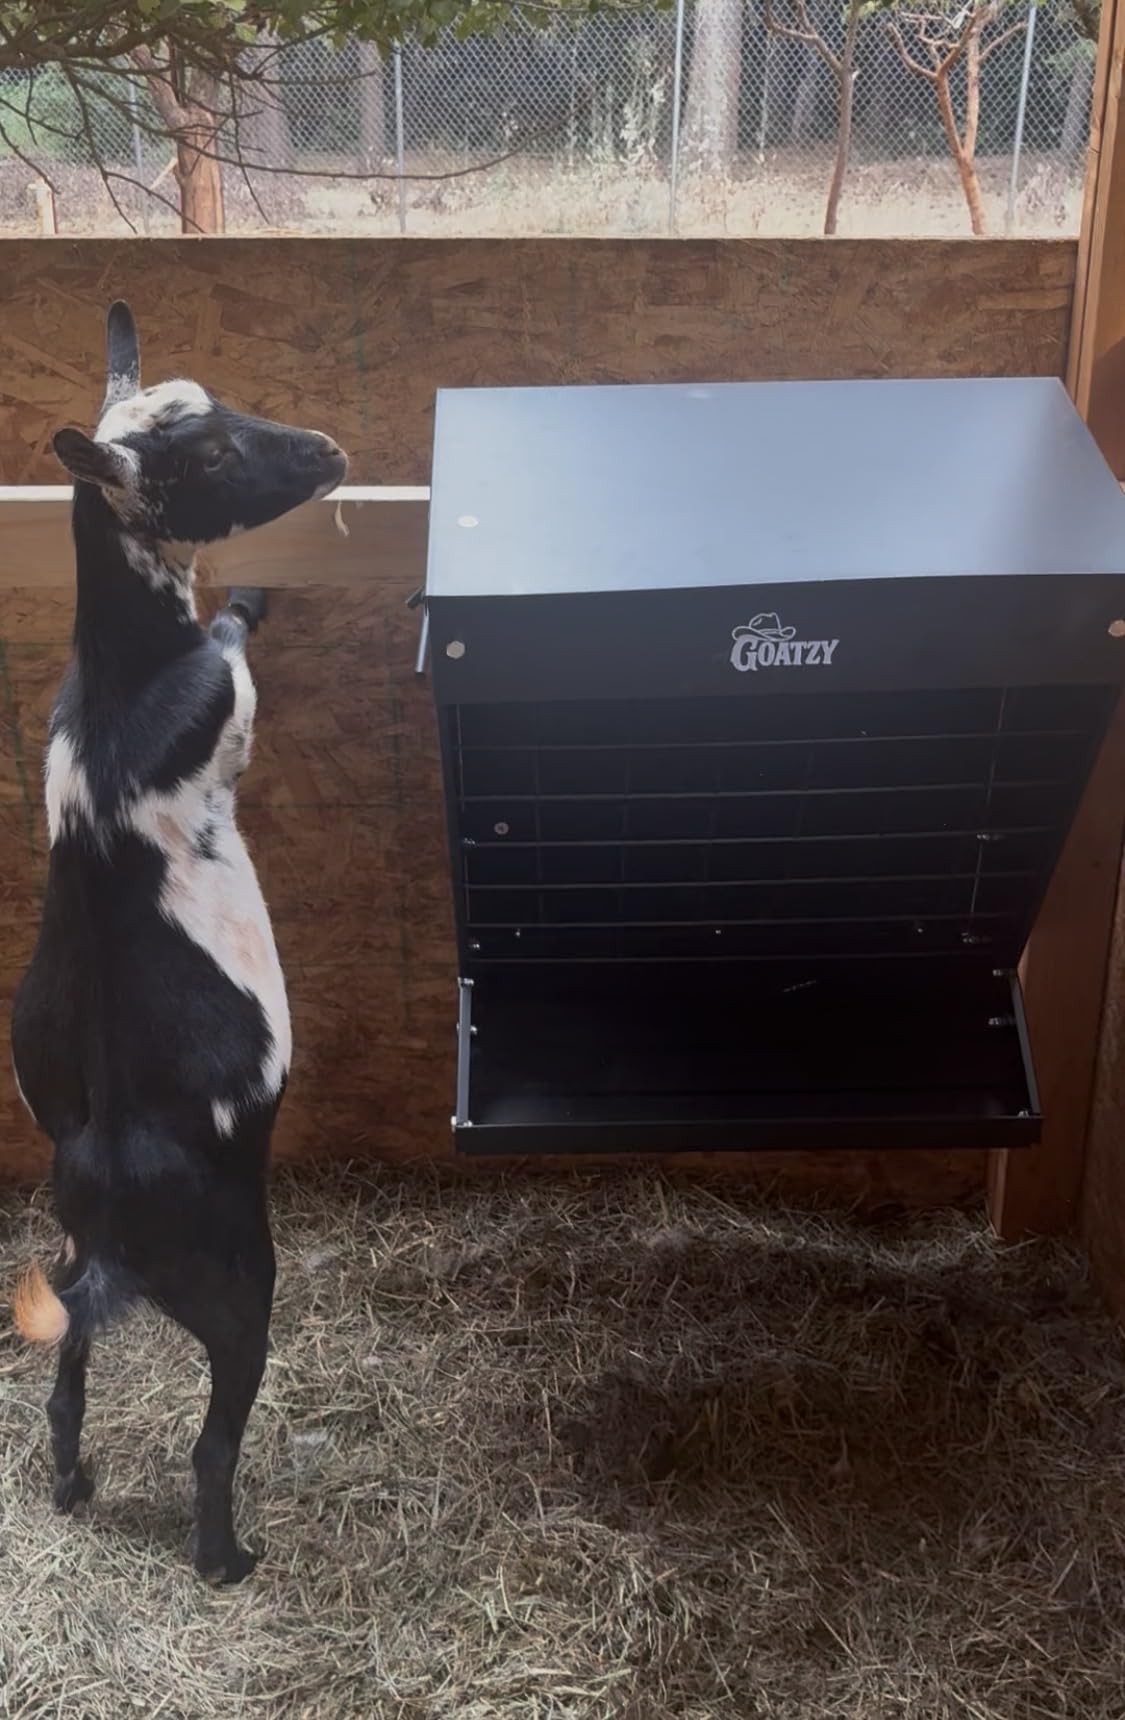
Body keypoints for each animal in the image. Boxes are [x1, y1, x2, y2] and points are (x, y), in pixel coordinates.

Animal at [10, 300, 348, 1583]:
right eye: (205, 458)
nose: (326, 450)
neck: (119, 681)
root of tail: (115, 1245)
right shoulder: (222, 698)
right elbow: (237, 651)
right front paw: (250, 590)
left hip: (64, 1269)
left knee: (62, 1387)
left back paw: (72, 1483)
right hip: (238, 1284)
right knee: (213, 1441)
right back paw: (226, 1557)